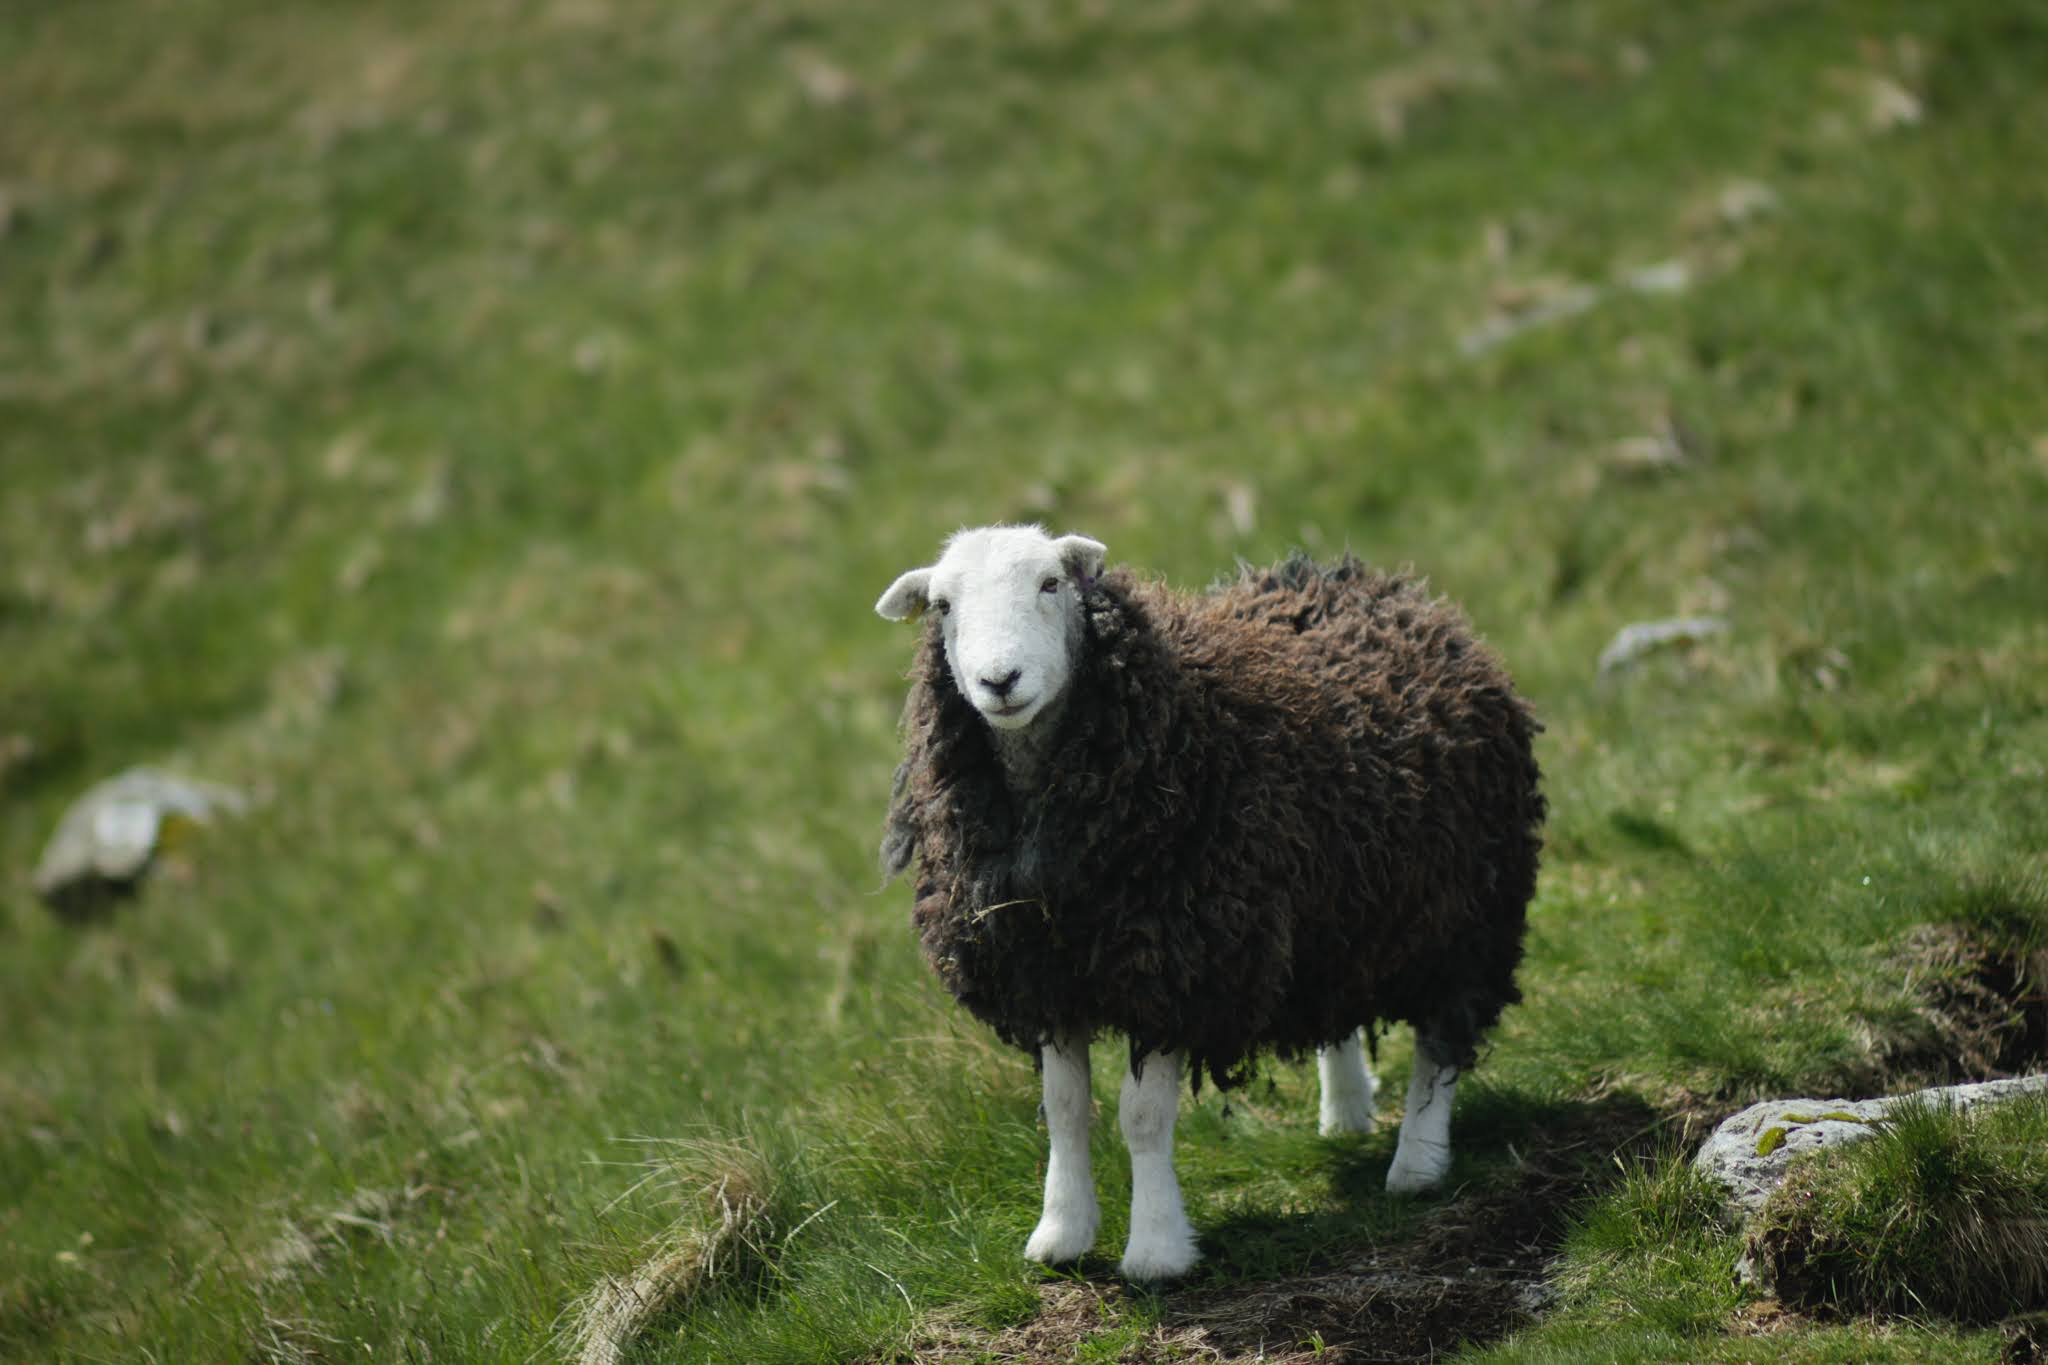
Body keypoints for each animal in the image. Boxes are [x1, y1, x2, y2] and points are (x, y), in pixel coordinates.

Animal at [875, 525, 1544, 1281]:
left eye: (1051, 583)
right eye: (943, 605)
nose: (999, 681)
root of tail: (1382, 587)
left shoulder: (1180, 971)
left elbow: (1141, 1117)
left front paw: (1157, 1249)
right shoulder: (1045, 976)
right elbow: (1066, 1107)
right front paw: (1061, 1232)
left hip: (1466, 911)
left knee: (1442, 1036)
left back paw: (1418, 1162)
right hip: (1334, 908)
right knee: (1339, 1000)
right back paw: (1345, 1111)